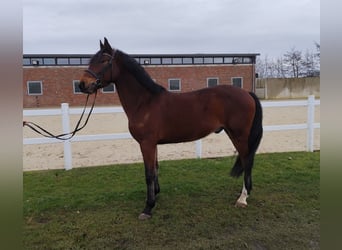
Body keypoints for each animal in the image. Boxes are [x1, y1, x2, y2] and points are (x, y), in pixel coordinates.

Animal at [79, 38, 264, 220]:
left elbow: (149, 173)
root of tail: (247, 93)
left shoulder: (146, 143)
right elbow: (155, 169)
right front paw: (155, 195)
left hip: (239, 135)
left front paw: (148, 207)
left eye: (103, 61)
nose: (82, 84)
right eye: (91, 61)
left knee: (247, 160)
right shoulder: (152, 144)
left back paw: (242, 198)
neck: (144, 102)